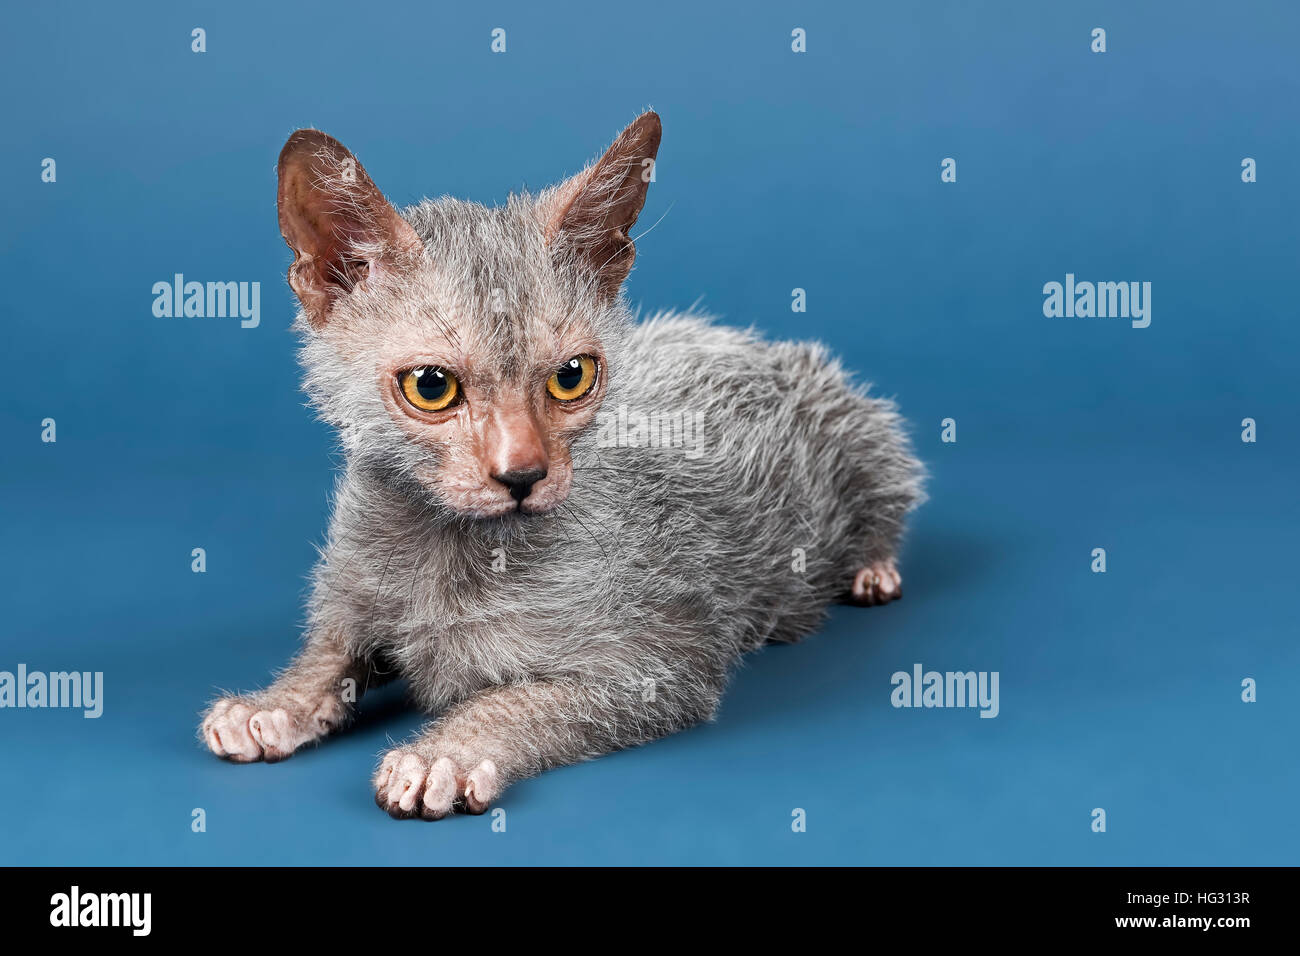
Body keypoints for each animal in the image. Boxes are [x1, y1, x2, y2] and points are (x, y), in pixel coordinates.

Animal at [197, 110, 925, 816]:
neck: (448, 550)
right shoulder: (353, 596)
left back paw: (873, 568)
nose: (522, 475)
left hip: (856, 427)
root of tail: (751, 340)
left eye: (572, 376)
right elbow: (329, 653)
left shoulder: (662, 662)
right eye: (431, 387)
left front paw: (445, 753)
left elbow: (518, 699)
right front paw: (275, 704)